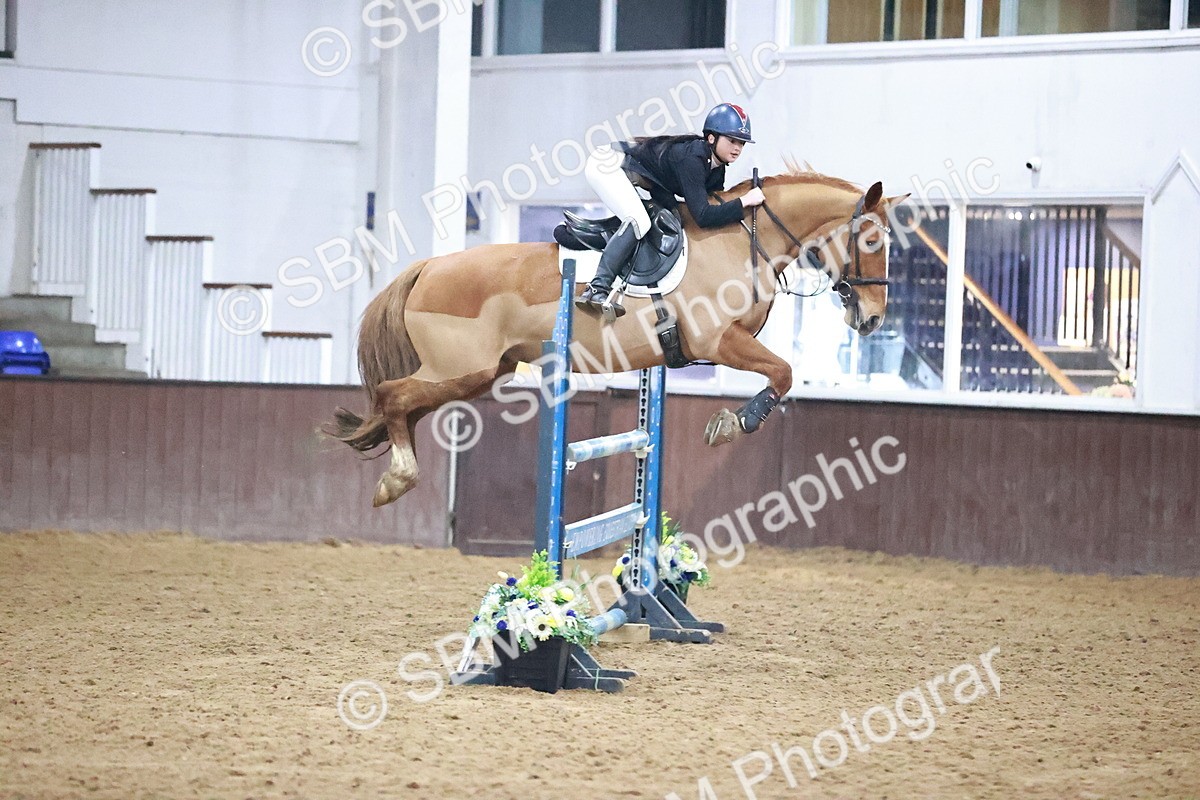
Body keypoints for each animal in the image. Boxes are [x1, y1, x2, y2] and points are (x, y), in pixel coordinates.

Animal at [327, 169, 906, 507]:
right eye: (871, 241)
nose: (874, 319)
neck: (743, 239)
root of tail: (427, 267)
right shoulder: (718, 341)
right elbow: (782, 372)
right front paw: (731, 424)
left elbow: (781, 374)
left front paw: (733, 420)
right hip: (461, 370)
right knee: (392, 397)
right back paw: (397, 479)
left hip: (475, 375)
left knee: (403, 406)